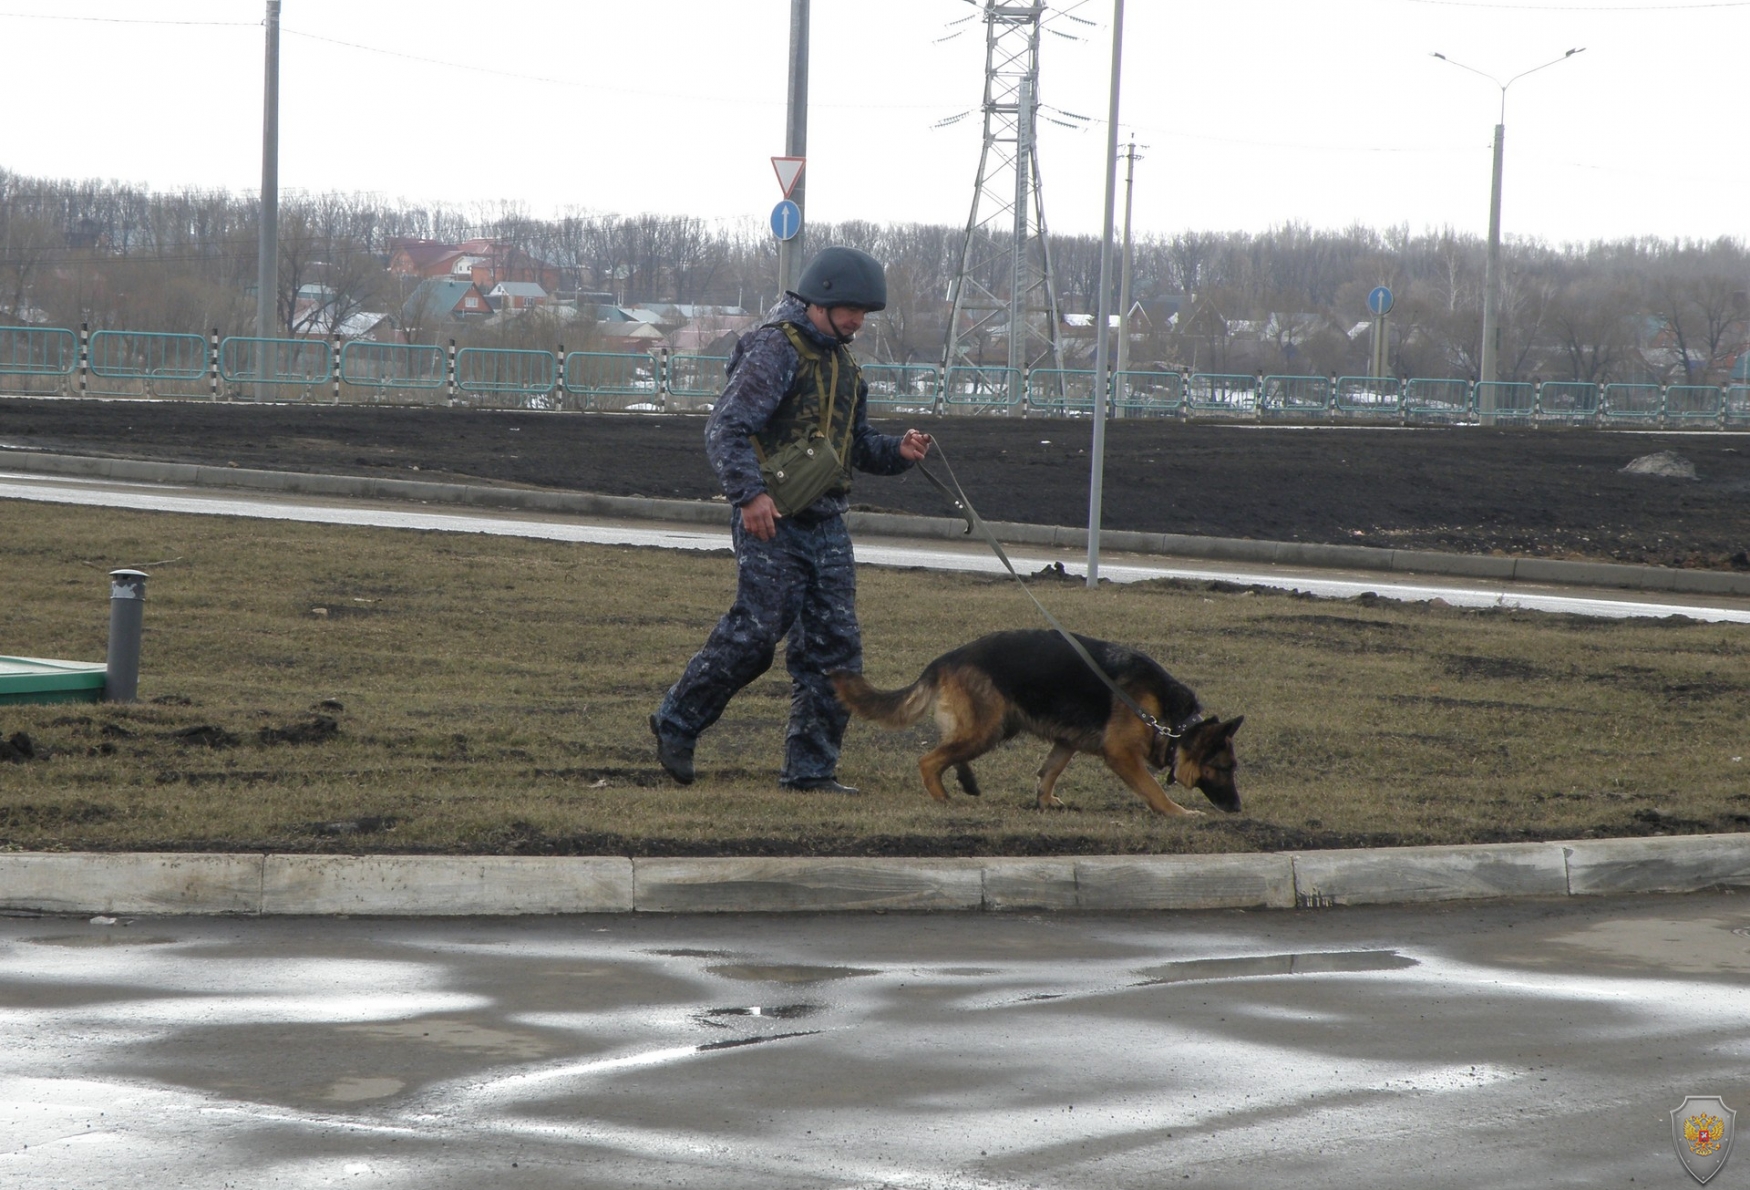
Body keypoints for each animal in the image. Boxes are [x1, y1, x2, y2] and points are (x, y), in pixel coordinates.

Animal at [833, 633, 1246, 819]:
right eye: (1224, 768)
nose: (1238, 809)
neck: (1173, 723)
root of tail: (947, 658)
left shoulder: (1066, 741)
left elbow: (1050, 770)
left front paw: (1045, 800)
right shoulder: (1121, 754)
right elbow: (1151, 789)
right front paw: (1177, 812)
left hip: (984, 727)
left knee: (947, 749)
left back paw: (965, 781)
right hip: (988, 729)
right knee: (929, 760)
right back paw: (943, 799)